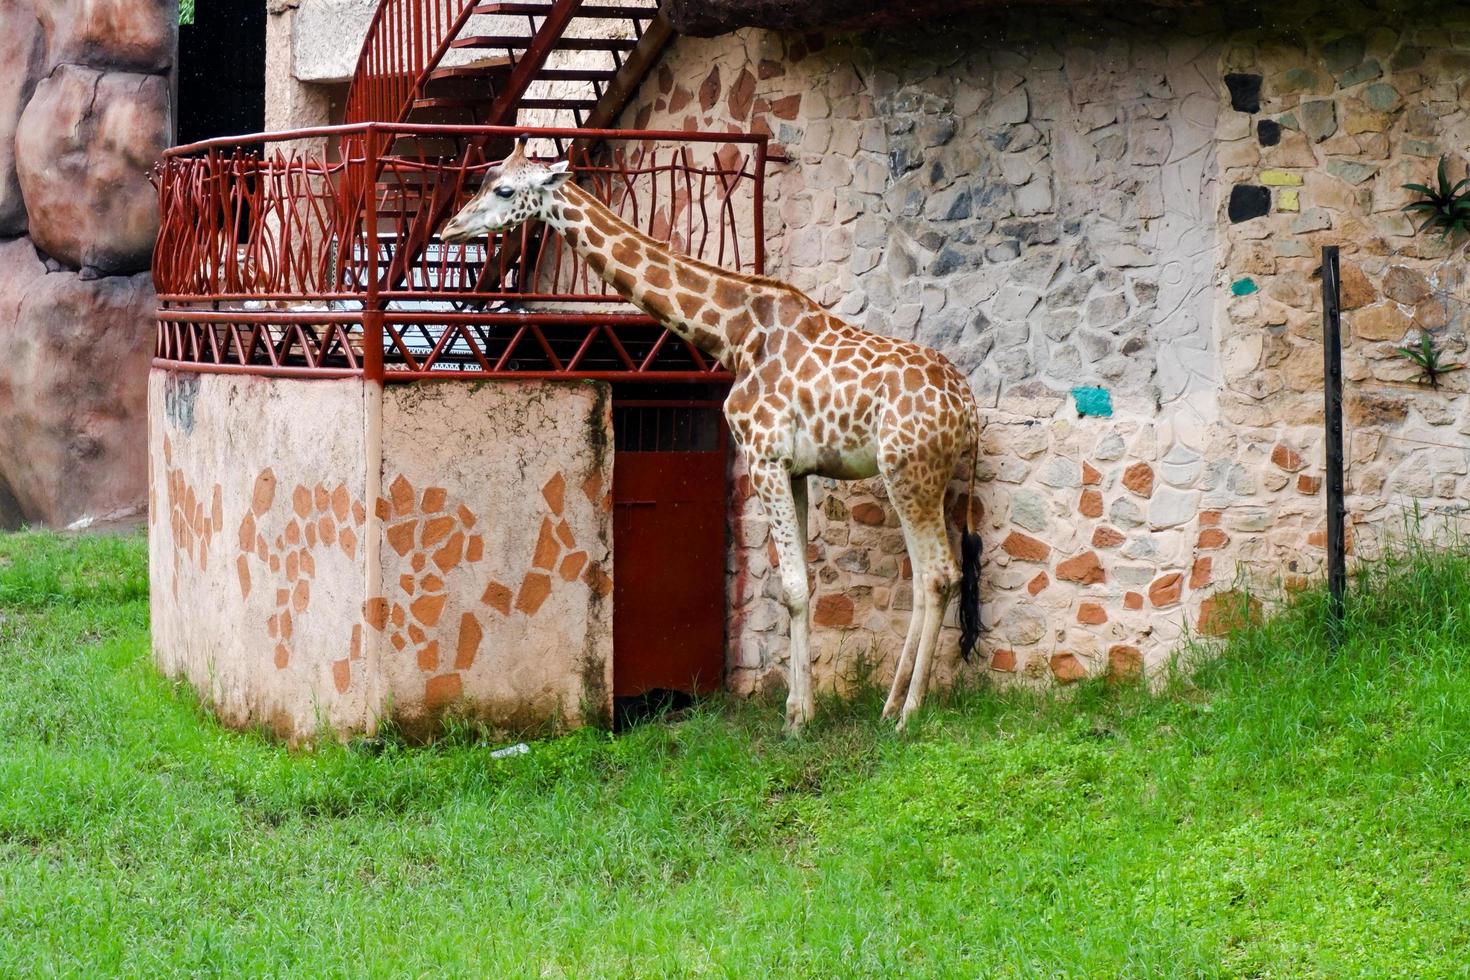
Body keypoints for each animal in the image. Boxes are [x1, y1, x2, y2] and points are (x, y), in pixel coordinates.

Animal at [441, 141, 981, 731]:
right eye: (485, 178)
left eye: (504, 190)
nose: (449, 229)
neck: (733, 333)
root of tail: (968, 409)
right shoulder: (794, 469)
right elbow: (801, 585)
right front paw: (802, 709)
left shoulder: (763, 456)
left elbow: (793, 589)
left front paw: (796, 720)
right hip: (917, 476)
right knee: (926, 579)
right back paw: (888, 708)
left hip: (910, 472)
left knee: (938, 574)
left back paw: (908, 715)